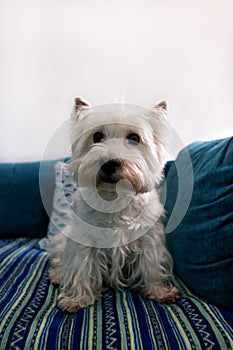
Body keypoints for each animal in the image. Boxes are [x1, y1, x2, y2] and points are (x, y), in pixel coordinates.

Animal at [47, 98, 181, 312]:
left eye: (134, 137)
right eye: (97, 136)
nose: (109, 163)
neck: (114, 198)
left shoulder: (148, 238)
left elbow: (151, 266)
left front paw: (160, 291)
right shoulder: (85, 240)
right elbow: (82, 267)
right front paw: (77, 299)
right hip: (63, 238)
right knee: (61, 259)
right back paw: (58, 275)